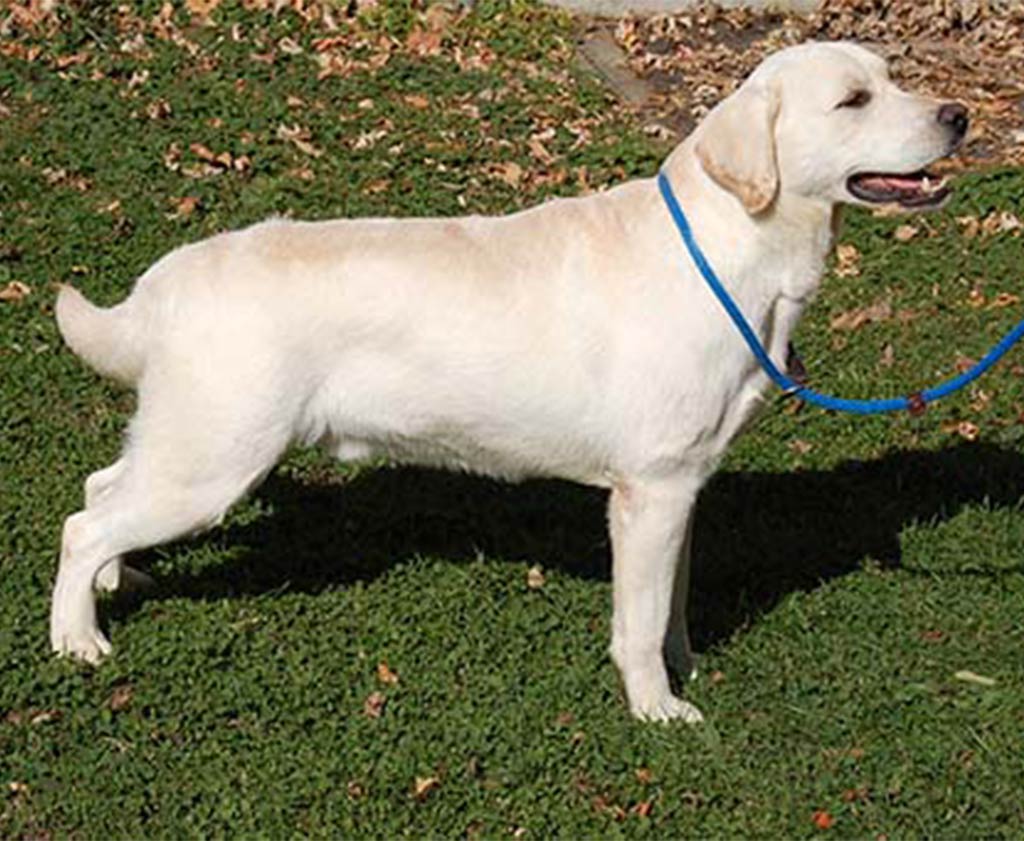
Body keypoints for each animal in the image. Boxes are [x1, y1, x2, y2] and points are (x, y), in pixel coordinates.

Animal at [51, 42, 962, 717]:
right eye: (854, 100)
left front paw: (685, 664)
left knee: (100, 488)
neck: (734, 248)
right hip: (217, 458)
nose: (959, 116)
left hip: (188, 441)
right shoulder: (652, 488)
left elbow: (671, 603)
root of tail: (165, 279)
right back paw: (77, 638)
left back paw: (117, 581)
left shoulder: (684, 486)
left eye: (891, 77)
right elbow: (638, 622)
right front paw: (658, 708)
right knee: (81, 524)